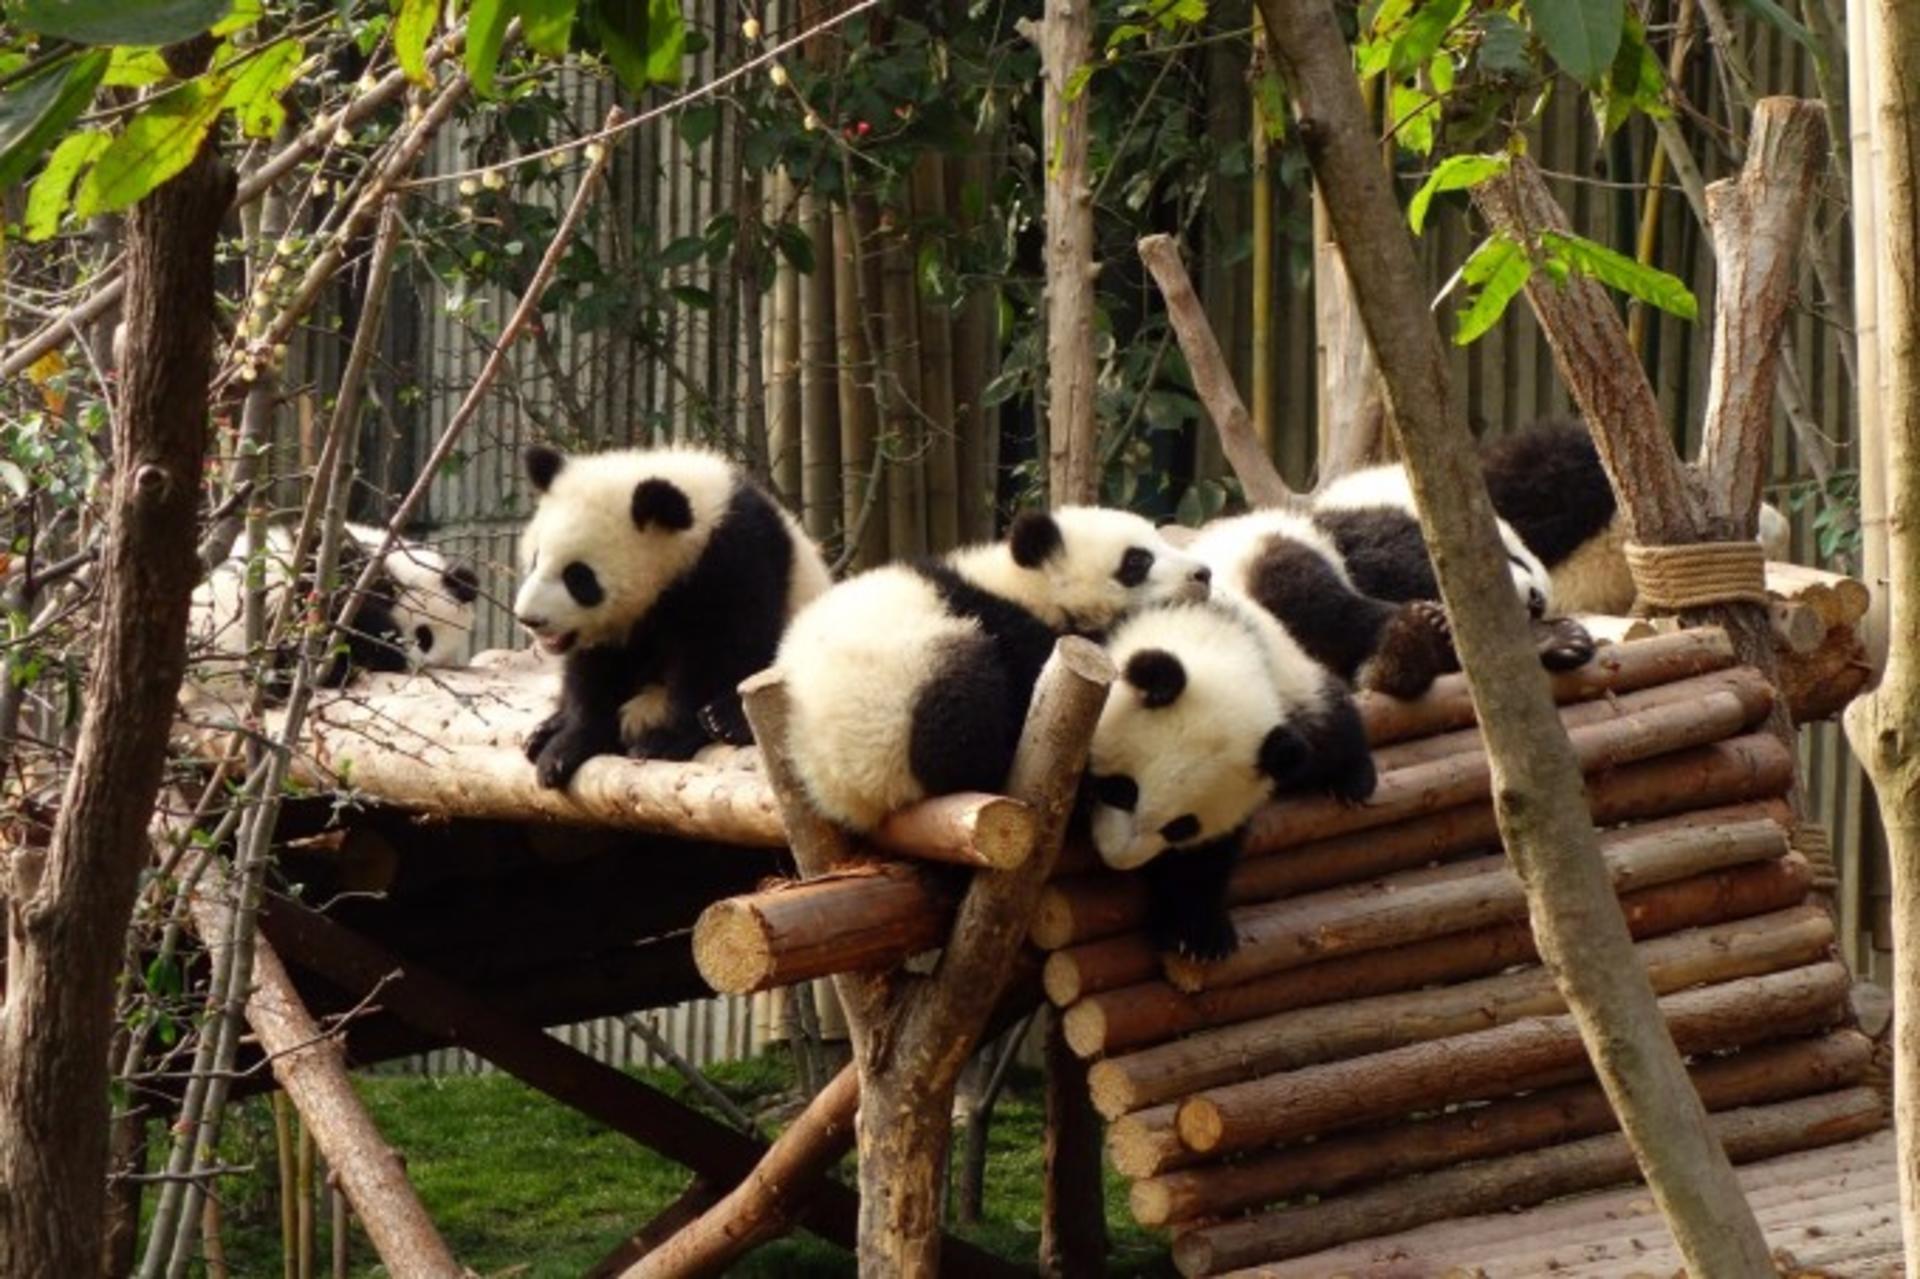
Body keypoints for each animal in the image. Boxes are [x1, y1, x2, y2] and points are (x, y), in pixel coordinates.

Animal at [512, 443, 831, 789]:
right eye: (535, 559)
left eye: (579, 578)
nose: (529, 619)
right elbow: (595, 673)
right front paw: (563, 750)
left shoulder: (735, 562)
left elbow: (717, 653)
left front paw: (664, 739)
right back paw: (543, 732)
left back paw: (724, 719)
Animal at [776, 506, 1212, 834]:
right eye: (1137, 561)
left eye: (1160, 539)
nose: (1202, 574)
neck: (1026, 584)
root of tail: (836, 791)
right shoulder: (1004, 619)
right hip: (897, 700)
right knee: (959, 718)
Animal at [1086, 590, 1377, 960]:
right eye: (1122, 789)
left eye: (1181, 827)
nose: (1119, 859)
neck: (1220, 639)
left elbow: (1207, 859)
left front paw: (1198, 936)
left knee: (1328, 722)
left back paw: (1353, 781)